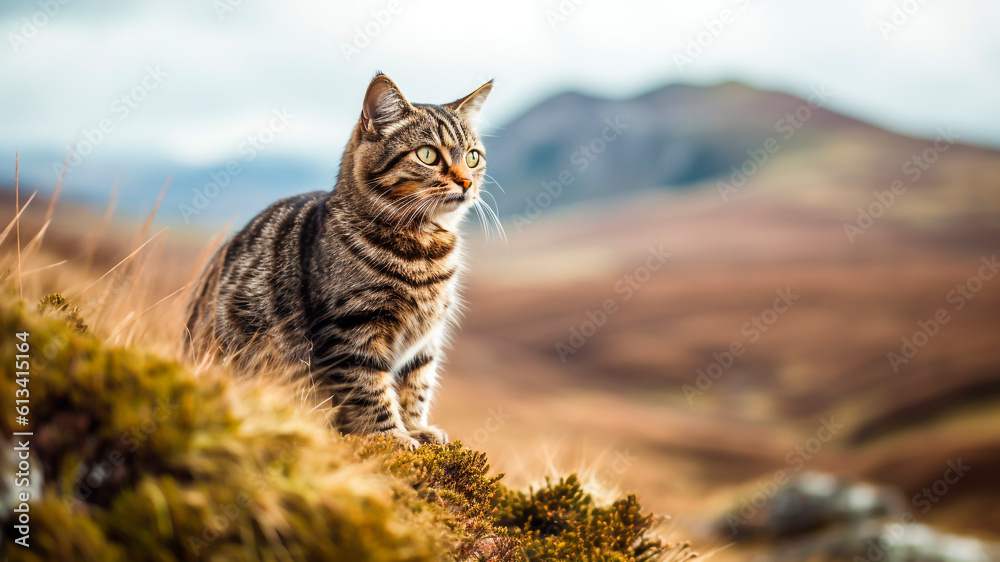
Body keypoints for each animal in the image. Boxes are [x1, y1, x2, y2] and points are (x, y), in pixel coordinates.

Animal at [185, 73, 496, 446]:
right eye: (428, 155)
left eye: (473, 157)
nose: (467, 182)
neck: (424, 247)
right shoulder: (352, 330)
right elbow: (371, 390)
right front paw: (392, 437)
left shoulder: (426, 340)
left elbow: (416, 384)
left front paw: (416, 428)